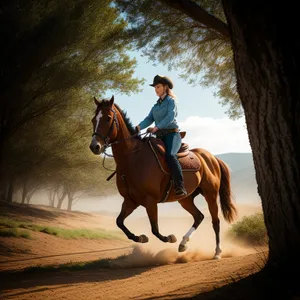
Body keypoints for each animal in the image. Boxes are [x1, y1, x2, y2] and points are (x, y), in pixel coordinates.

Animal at [89, 95, 237, 258]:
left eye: (108, 118)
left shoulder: (150, 200)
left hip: (210, 194)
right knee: (199, 216)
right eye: (93, 119)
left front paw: (170, 238)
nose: (95, 146)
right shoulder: (130, 201)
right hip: (185, 199)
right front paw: (140, 237)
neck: (134, 159)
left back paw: (217, 252)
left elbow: (155, 229)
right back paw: (183, 243)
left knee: (215, 222)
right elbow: (119, 222)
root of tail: (212, 158)